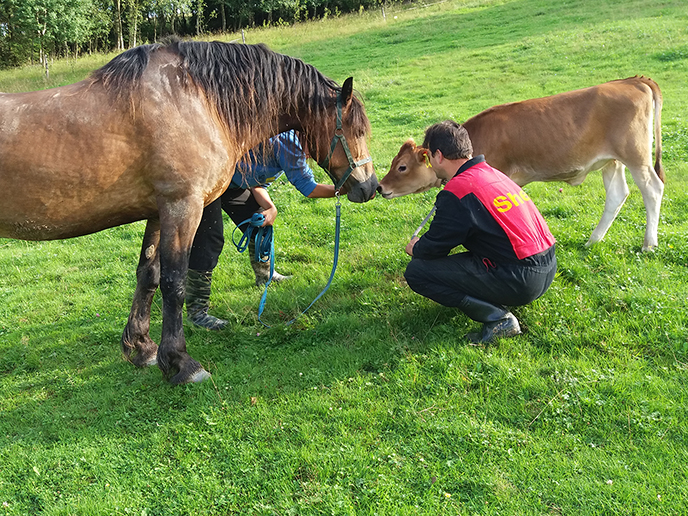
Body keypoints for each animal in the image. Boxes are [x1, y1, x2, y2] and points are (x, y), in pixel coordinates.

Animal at [0, 39, 376, 382]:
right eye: (356, 130)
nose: (369, 187)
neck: (196, 101)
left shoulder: (157, 211)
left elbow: (148, 277)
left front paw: (143, 349)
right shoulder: (183, 206)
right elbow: (174, 281)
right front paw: (180, 362)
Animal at [378, 76, 664, 252]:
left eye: (402, 166)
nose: (380, 187)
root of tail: (633, 80)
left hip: (636, 156)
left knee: (653, 189)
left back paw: (649, 243)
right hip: (610, 161)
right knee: (617, 195)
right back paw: (593, 240)